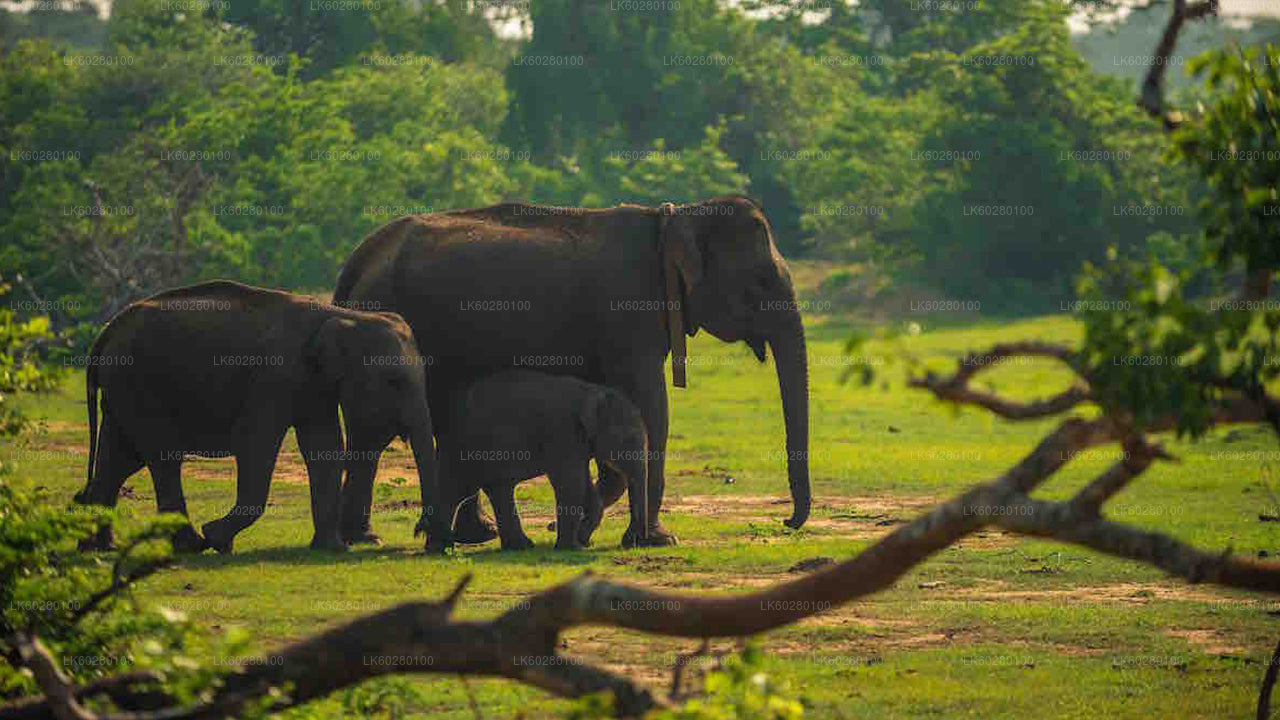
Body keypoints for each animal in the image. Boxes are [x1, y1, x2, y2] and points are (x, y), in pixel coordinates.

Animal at [74, 278, 453, 550]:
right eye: (394, 381)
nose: (420, 531)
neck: (341, 315)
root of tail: (107, 331)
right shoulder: (273, 377)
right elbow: (255, 443)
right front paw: (216, 537)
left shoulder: (314, 385)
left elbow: (324, 447)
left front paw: (332, 549)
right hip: (137, 382)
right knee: (162, 456)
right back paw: (191, 544)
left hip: (123, 388)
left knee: (120, 458)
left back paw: (98, 547)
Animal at [430, 368, 650, 548]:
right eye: (629, 439)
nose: (634, 542)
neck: (591, 391)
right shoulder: (561, 432)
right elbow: (570, 484)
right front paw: (571, 548)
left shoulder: (577, 442)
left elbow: (584, 485)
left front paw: (581, 541)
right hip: (464, 448)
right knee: (455, 491)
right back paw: (441, 550)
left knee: (497, 489)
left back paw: (521, 547)